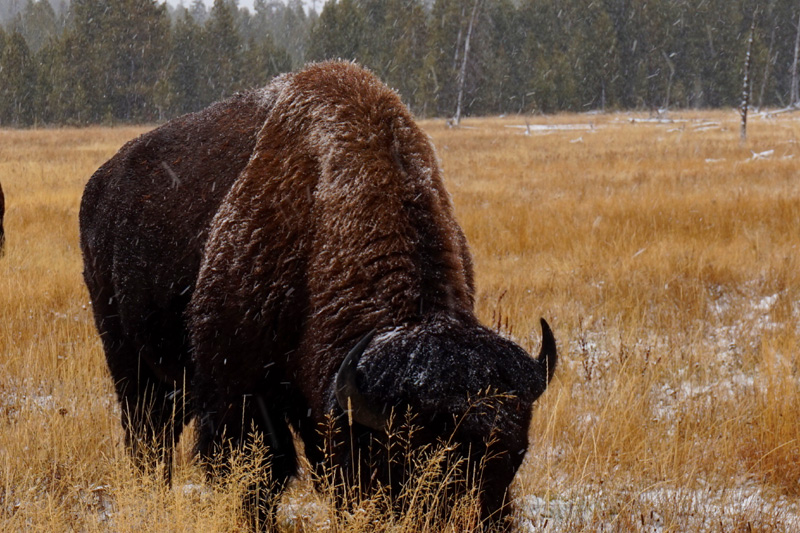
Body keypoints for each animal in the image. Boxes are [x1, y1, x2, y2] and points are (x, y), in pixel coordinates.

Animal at [80, 61, 557, 527]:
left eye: (515, 457)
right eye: (407, 456)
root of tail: (101, 184)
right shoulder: (239, 391)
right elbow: (257, 472)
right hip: (127, 359)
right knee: (148, 437)